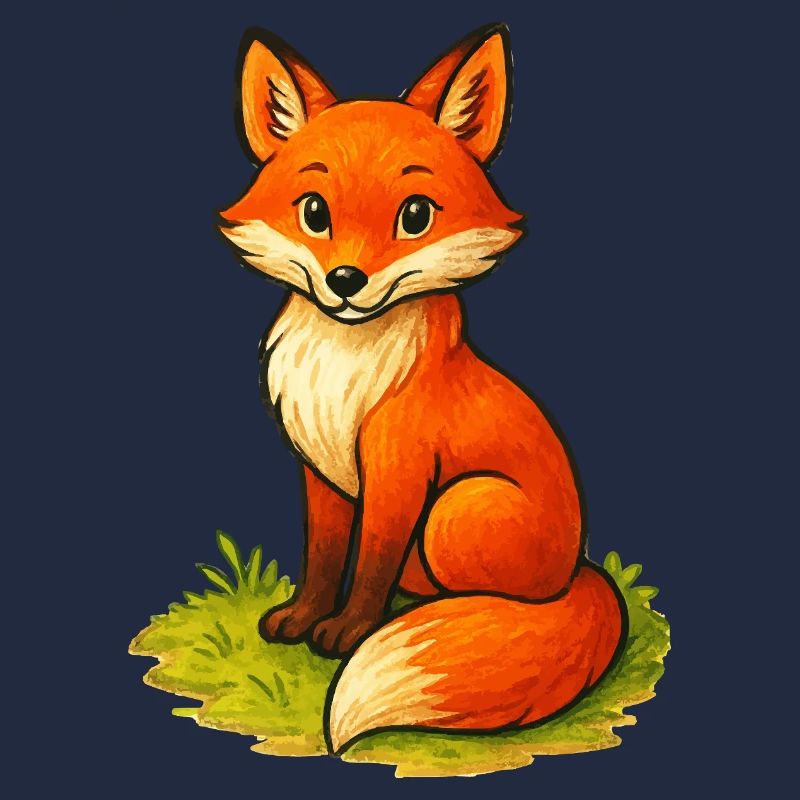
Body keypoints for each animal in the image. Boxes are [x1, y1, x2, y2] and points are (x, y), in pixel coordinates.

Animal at [219, 24, 627, 756]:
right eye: (314, 213)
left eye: (414, 216)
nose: (345, 281)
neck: (344, 369)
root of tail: (581, 570)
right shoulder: (318, 470)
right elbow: (324, 555)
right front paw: (303, 617)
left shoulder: (399, 467)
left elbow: (371, 562)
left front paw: (347, 633)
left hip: (456, 510)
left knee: (490, 598)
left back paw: (455, 614)